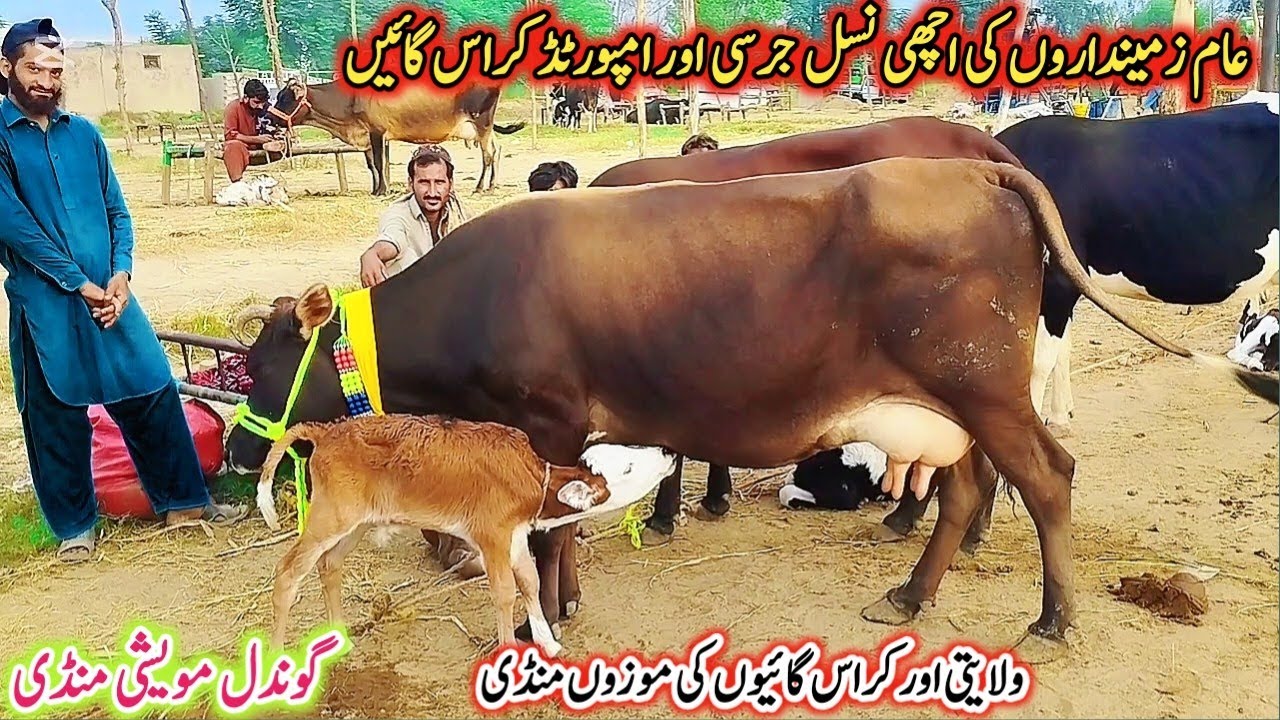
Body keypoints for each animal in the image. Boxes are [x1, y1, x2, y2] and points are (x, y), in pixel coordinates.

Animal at [270, 79, 526, 196]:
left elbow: (380, 163)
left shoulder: (377, 131)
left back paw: (481, 187)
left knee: (488, 155)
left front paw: (382, 191)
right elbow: (373, 165)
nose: (269, 117)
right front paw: (375, 189)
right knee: (497, 150)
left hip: (481, 123)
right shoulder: (368, 136)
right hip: (484, 127)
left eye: (284, 98)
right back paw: (492, 184)